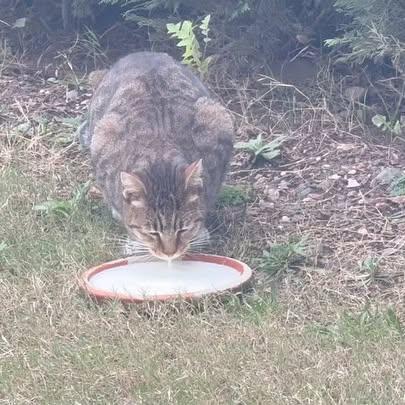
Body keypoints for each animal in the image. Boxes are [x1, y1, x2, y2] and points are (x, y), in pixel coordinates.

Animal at [81, 52, 234, 260]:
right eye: (152, 233)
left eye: (183, 229)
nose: (170, 254)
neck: (160, 154)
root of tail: (143, 53)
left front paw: (199, 234)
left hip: (215, 112)